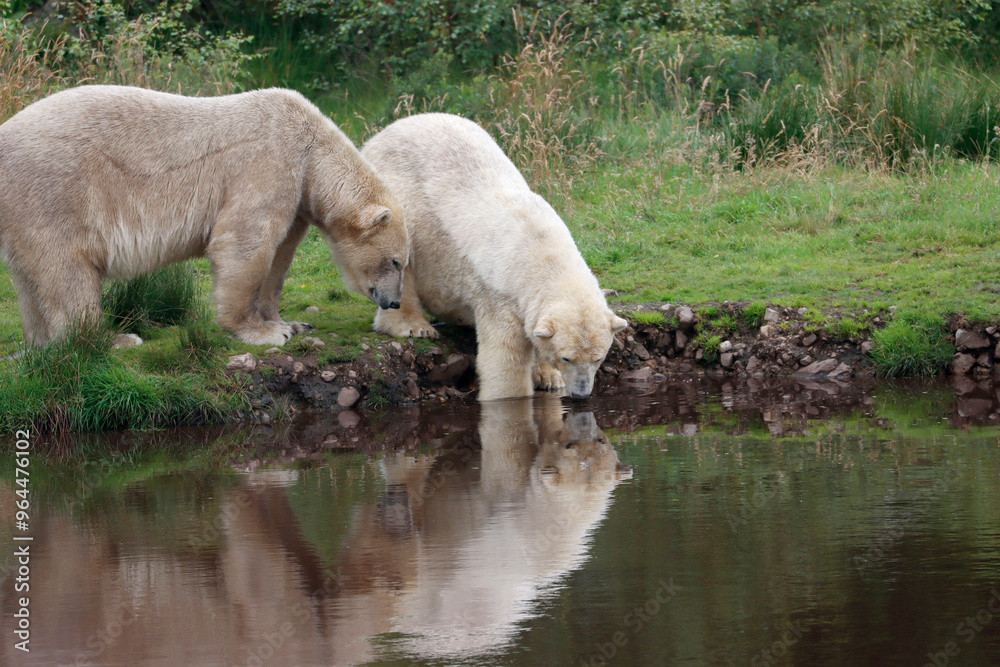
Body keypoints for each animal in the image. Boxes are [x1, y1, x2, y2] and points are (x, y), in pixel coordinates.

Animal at [0, 85, 408, 347]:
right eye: (396, 261)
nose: (395, 303)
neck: (311, 148)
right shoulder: (270, 164)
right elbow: (243, 241)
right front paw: (263, 333)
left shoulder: (297, 199)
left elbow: (278, 259)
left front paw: (291, 323)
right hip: (55, 192)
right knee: (68, 270)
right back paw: (112, 339)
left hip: (21, 212)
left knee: (31, 278)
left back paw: (41, 342)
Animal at [361, 113, 627, 401]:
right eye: (568, 358)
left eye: (598, 358)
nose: (581, 393)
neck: (539, 245)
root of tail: (384, 132)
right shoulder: (498, 295)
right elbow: (504, 362)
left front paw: (549, 378)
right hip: (392, 196)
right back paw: (413, 325)